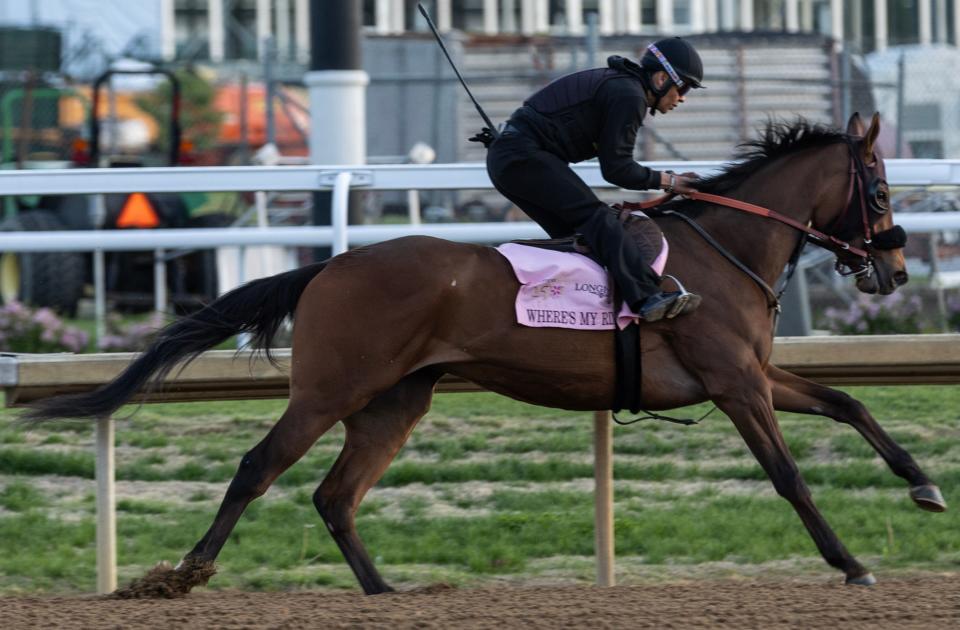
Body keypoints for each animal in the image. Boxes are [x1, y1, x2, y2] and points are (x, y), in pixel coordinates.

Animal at [24, 112, 944, 596]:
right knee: (259, 467)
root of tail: (330, 265)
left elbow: (851, 402)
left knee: (334, 494)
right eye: (880, 189)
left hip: (395, 400)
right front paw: (851, 562)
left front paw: (924, 486)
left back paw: (382, 590)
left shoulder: (755, 373)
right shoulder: (733, 383)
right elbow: (788, 475)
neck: (724, 253)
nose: (896, 269)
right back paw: (186, 573)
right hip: (329, 390)